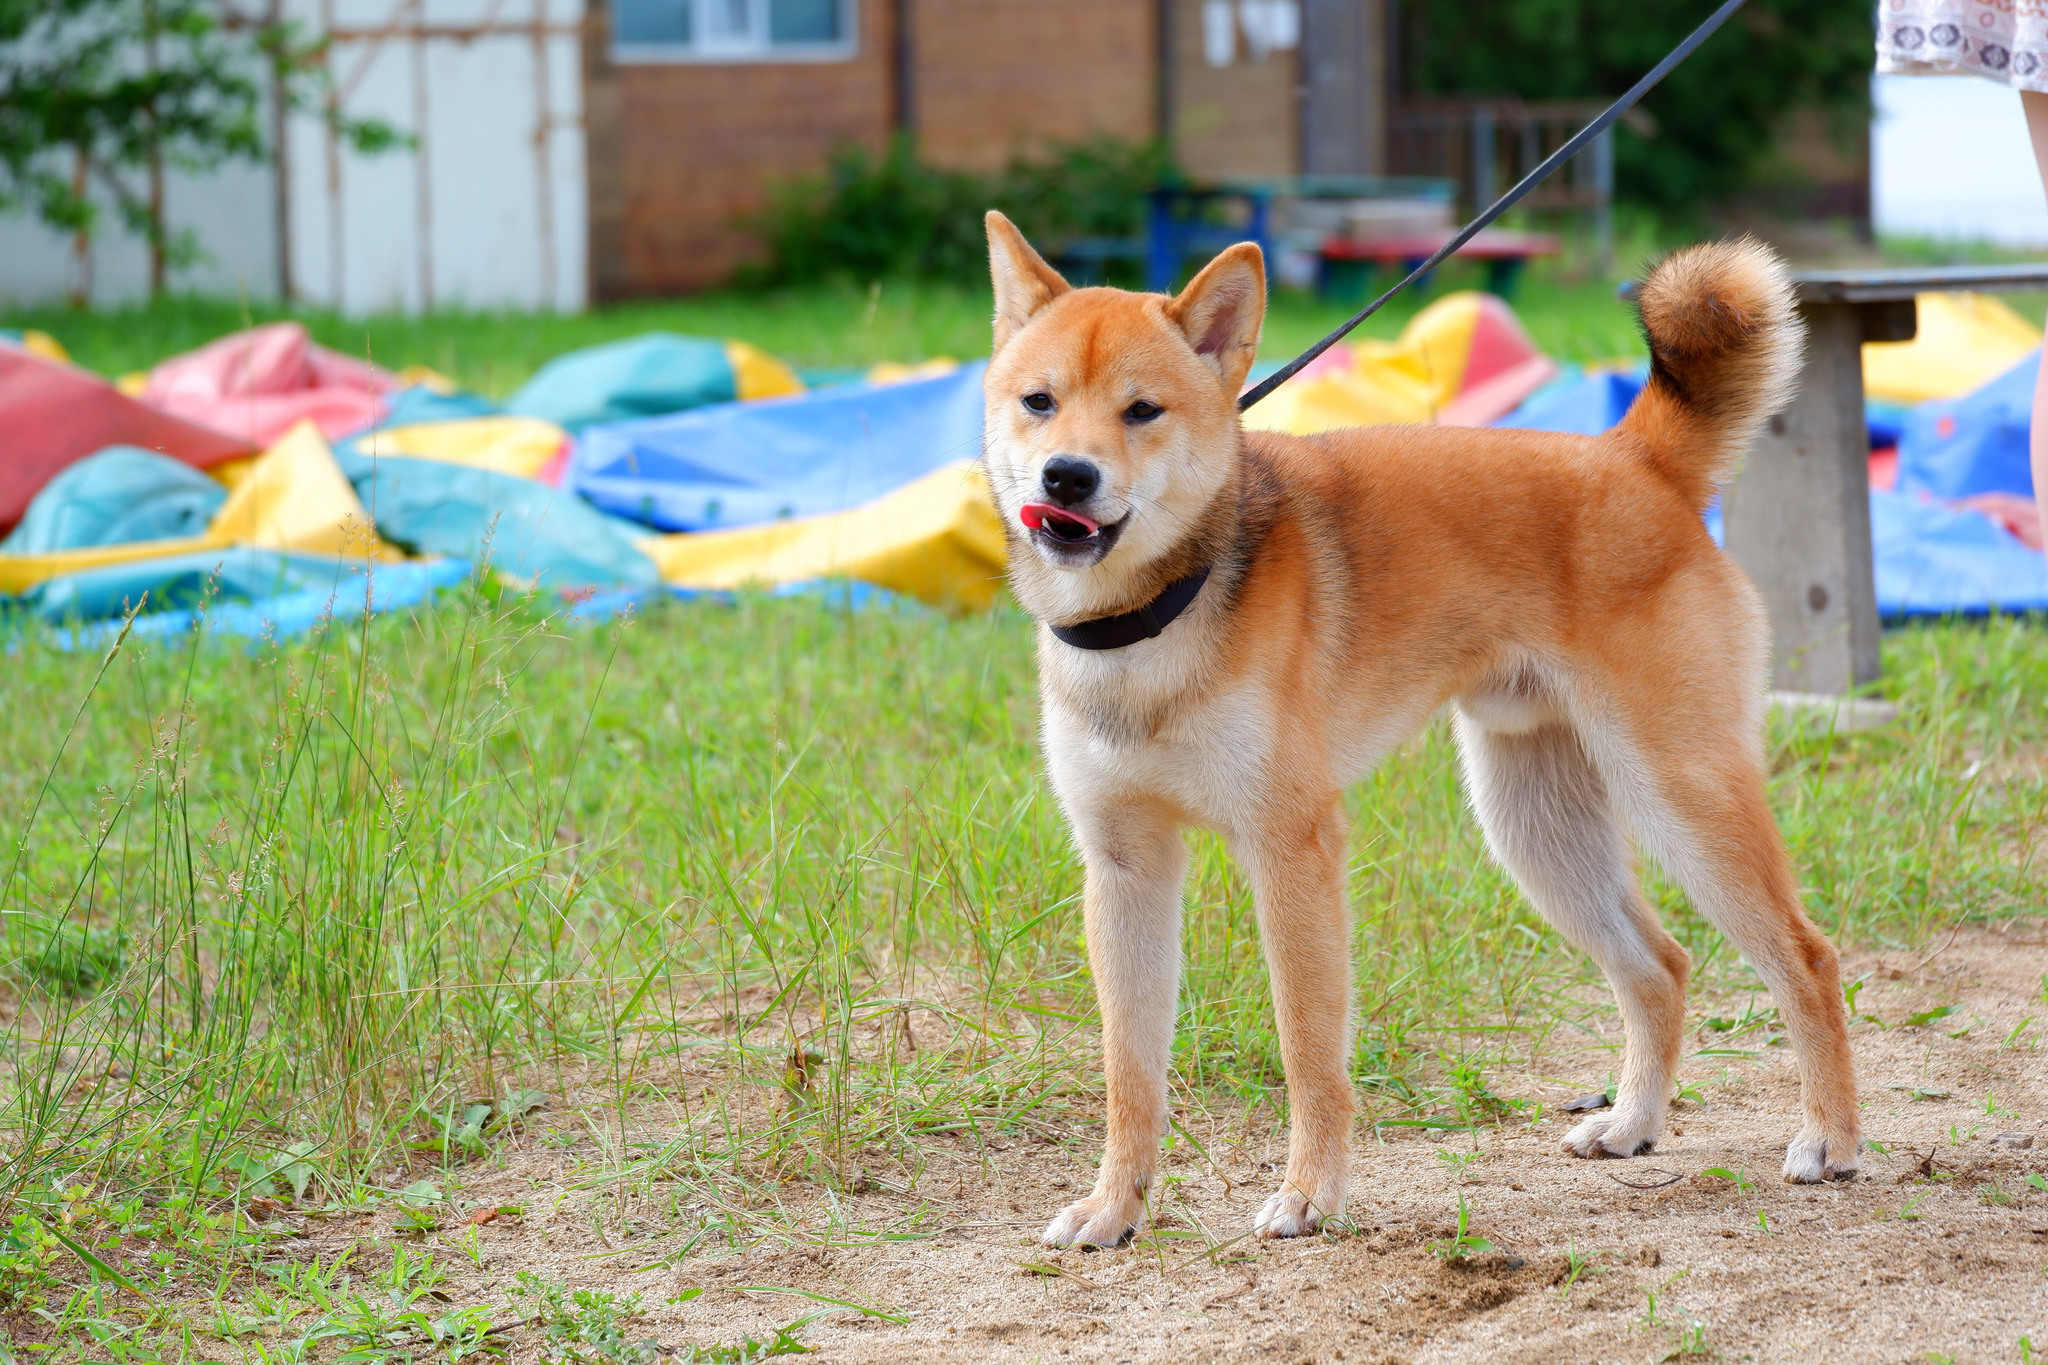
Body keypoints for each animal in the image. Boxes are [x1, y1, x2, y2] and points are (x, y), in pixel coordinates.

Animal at [983, 210, 1867, 1252]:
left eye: (1142, 411)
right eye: (1039, 402)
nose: (1066, 475)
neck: (1152, 620)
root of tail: (1632, 458)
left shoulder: (1291, 850)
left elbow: (1309, 1049)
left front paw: (1311, 1195)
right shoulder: (1125, 865)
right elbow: (1130, 1069)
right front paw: (1115, 1207)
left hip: (1679, 792)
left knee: (1807, 957)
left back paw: (1832, 1138)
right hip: (1535, 824)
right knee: (1659, 965)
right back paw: (1634, 1123)